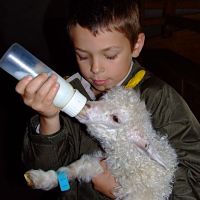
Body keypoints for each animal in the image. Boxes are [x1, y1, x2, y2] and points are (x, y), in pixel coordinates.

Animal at [23, 86, 178, 200]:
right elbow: (74, 168)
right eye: (103, 98)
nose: (86, 106)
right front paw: (41, 179)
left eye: (116, 118)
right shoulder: (101, 162)